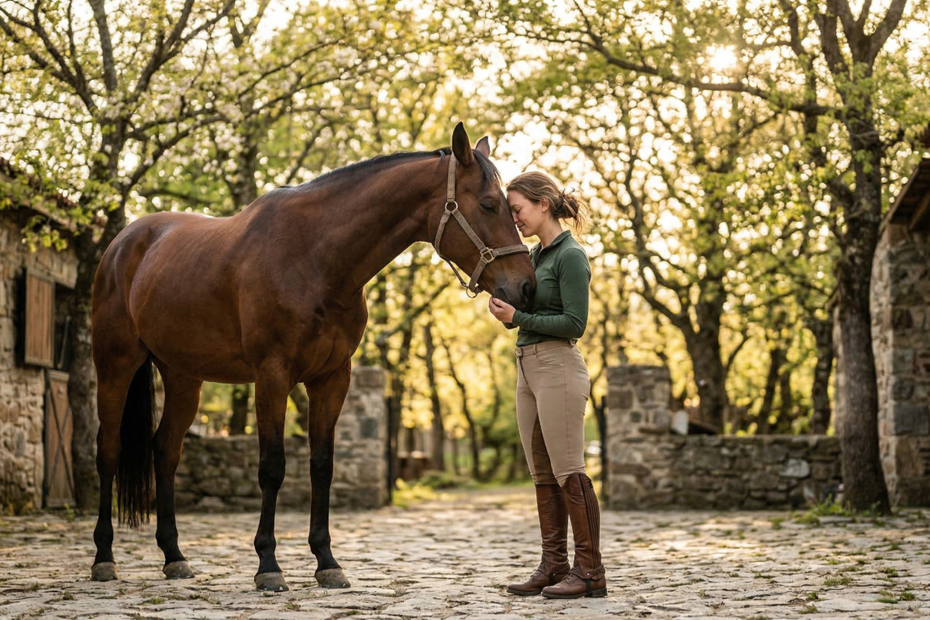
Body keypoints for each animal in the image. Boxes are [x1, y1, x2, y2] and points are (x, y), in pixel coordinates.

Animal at [89, 122, 536, 592]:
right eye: (488, 205)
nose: (526, 287)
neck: (314, 257)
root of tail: (124, 243)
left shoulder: (332, 378)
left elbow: (322, 465)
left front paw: (326, 561)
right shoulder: (272, 375)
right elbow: (272, 466)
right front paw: (268, 564)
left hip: (182, 376)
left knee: (166, 452)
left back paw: (174, 556)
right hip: (115, 365)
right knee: (109, 450)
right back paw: (104, 557)